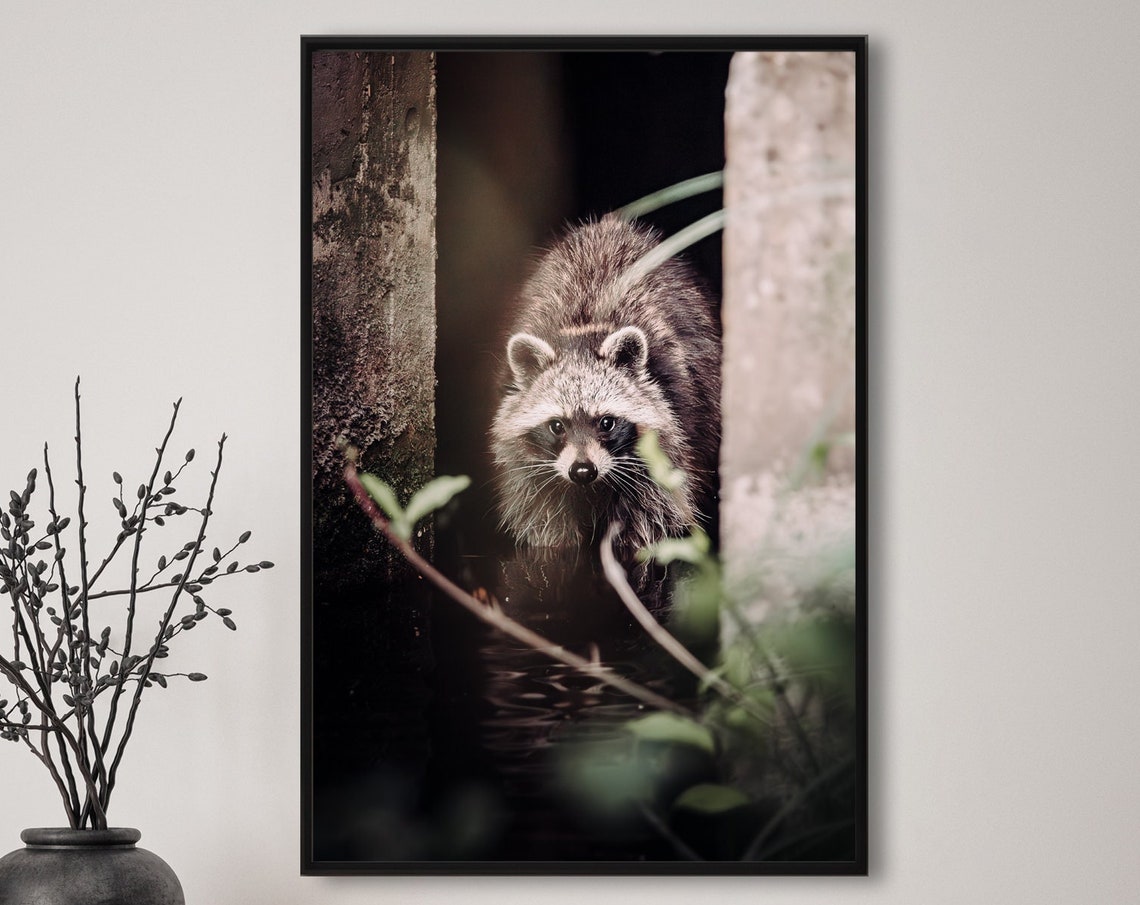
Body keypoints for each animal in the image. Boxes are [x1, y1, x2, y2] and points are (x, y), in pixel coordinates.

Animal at [490, 216, 721, 555]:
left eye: (607, 422)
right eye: (557, 425)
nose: (583, 471)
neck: (582, 330)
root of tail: (610, 224)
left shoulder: (669, 440)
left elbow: (653, 519)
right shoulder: (526, 465)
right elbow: (544, 520)